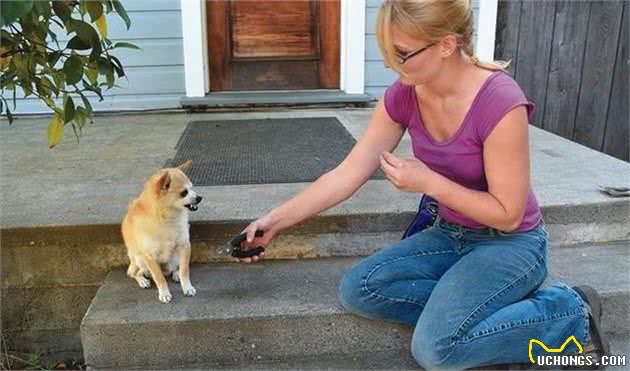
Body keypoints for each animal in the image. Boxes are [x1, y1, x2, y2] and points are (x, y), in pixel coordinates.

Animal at [121, 161, 202, 304]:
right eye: (184, 192)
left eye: (192, 188)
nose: (199, 198)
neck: (168, 218)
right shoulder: (149, 256)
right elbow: (159, 278)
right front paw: (164, 294)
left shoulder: (184, 245)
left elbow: (185, 270)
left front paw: (187, 287)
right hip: (140, 259)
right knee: (132, 272)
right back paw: (142, 280)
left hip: (174, 257)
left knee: (175, 268)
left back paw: (176, 273)